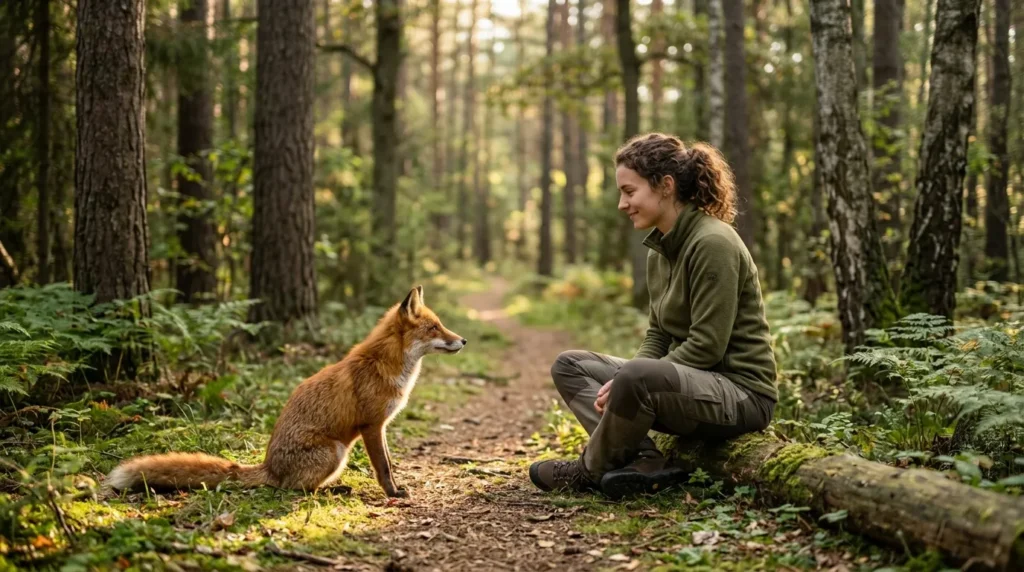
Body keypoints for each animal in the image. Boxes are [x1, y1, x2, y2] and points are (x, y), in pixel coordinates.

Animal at [105, 286, 466, 498]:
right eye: (434, 327)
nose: (463, 340)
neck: (387, 365)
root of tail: (268, 466)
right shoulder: (372, 425)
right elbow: (384, 467)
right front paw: (393, 493)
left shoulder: (381, 427)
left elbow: (389, 461)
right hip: (336, 450)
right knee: (292, 488)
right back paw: (331, 491)